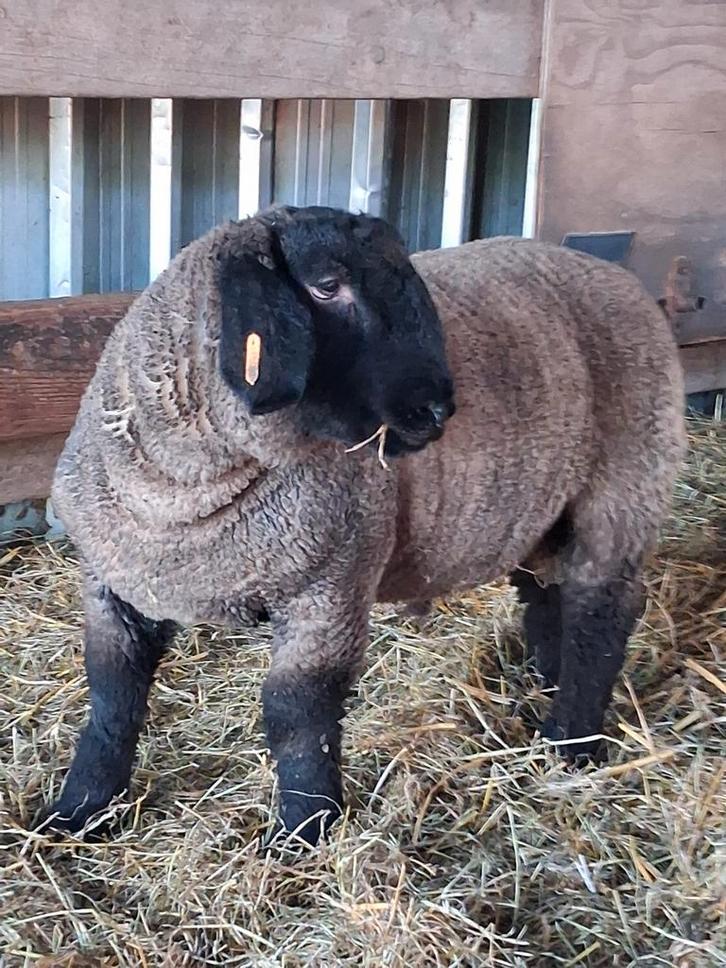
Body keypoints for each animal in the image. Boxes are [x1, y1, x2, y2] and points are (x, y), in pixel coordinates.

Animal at [43, 205, 686, 843]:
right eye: (327, 286)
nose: (439, 410)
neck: (188, 489)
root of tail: (620, 278)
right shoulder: (116, 587)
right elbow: (111, 695)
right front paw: (79, 810)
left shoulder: (330, 587)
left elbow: (296, 709)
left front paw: (305, 830)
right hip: (547, 508)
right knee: (551, 597)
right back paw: (546, 691)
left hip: (625, 485)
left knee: (601, 613)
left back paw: (572, 741)